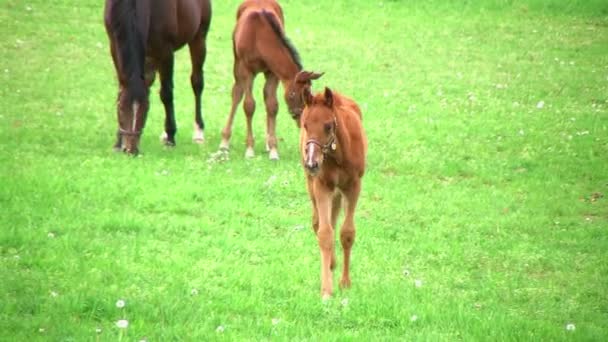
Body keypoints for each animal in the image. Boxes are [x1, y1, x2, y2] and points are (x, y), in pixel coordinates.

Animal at [107, 0, 214, 154]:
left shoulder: (166, 50)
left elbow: (166, 94)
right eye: (121, 108)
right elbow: (121, 90)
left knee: (197, 83)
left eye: (146, 109)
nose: (131, 150)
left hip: (199, 37)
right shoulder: (114, 45)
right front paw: (118, 142)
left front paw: (171, 137)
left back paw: (198, 132)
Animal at [220, 0, 324, 160]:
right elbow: (249, 105)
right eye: (293, 94)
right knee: (237, 92)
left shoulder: (273, 72)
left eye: (310, 94)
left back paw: (268, 144)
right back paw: (225, 141)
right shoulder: (247, 70)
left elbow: (272, 105)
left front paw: (274, 149)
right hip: (237, 62)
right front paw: (249, 149)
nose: (300, 119)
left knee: (265, 97)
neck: (259, 37)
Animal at [300, 85, 366, 296]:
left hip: (338, 191)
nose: (311, 163)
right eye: (305, 125)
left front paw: (345, 282)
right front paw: (326, 290)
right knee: (319, 222)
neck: (338, 154)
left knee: (335, 218)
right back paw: (331, 264)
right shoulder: (322, 186)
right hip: (313, 185)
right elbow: (324, 233)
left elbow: (347, 233)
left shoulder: (353, 186)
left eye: (328, 126)